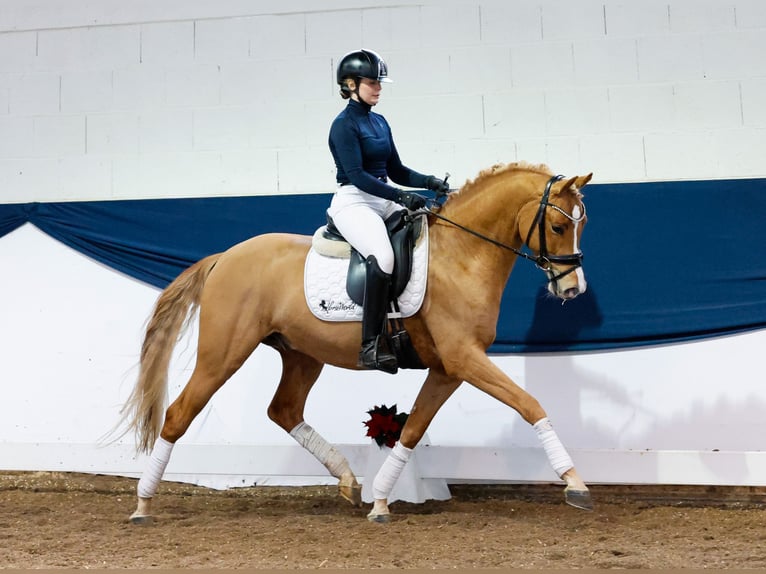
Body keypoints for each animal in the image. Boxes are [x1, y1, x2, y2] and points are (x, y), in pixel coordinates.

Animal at [123, 162, 596, 528]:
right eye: (558, 225)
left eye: (583, 225)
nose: (572, 289)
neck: (461, 255)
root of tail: (224, 256)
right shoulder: (464, 358)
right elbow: (530, 403)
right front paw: (575, 483)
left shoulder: (448, 369)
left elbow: (413, 428)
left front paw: (382, 500)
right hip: (223, 354)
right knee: (178, 415)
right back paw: (143, 505)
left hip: (302, 355)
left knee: (284, 410)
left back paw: (349, 481)